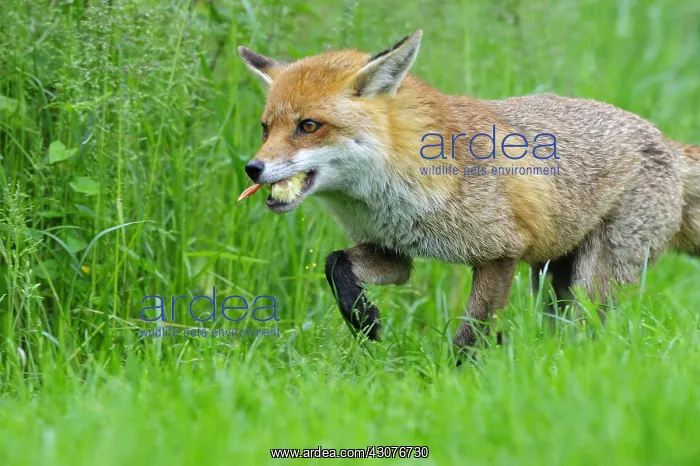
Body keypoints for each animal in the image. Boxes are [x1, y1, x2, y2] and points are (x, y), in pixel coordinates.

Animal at [237, 30, 700, 354]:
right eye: (265, 128)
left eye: (308, 126)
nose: (253, 168)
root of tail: (664, 140)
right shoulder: (394, 251)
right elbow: (336, 265)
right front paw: (364, 319)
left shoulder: (501, 252)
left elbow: (470, 335)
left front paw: (454, 381)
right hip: (553, 280)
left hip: (593, 280)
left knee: (589, 335)